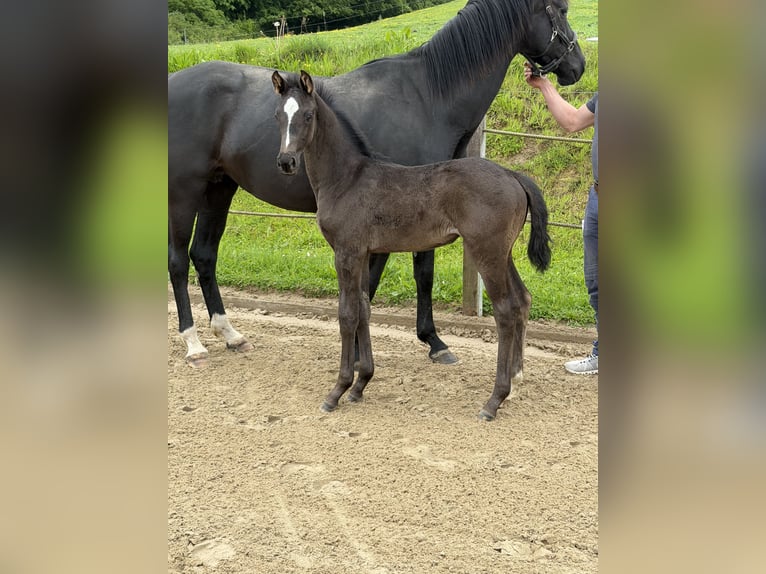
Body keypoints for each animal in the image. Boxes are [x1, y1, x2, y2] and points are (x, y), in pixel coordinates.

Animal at [168, 0, 584, 368]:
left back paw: (230, 334)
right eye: (562, 9)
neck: (428, 97)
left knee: (204, 256)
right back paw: (193, 343)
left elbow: (406, 276)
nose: (578, 66)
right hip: (185, 192)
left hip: (219, 189)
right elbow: (395, 277)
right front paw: (419, 343)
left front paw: (422, 341)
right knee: (177, 261)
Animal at [272, 70, 551, 421]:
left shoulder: (346, 253)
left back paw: (494, 400)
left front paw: (338, 390)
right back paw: (515, 379)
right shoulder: (364, 253)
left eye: (307, 115)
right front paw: (361, 384)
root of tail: (512, 174)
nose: (286, 161)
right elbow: (364, 308)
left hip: (486, 252)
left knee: (505, 310)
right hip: (504, 253)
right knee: (523, 299)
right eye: (278, 116)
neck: (347, 178)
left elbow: (347, 314)